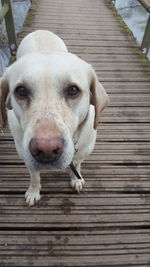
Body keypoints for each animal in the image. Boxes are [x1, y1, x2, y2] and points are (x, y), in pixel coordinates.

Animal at [0, 30, 109, 206]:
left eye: (73, 90)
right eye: (21, 90)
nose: (46, 150)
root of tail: (40, 31)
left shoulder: (82, 152)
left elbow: (76, 164)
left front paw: (76, 179)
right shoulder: (26, 156)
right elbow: (34, 176)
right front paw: (33, 191)